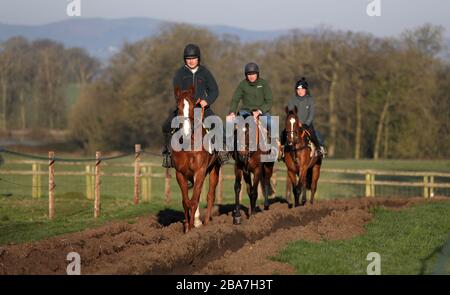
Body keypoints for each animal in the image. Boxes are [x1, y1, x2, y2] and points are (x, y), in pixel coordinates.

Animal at [171, 85, 221, 234]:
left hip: (214, 169)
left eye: (193, 106)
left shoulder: (200, 171)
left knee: (210, 196)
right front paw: (187, 228)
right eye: (178, 107)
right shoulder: (180, 173)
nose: (186, 131)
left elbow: (193, 201)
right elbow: (186, 202)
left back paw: (206, 223)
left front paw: (192, 229)